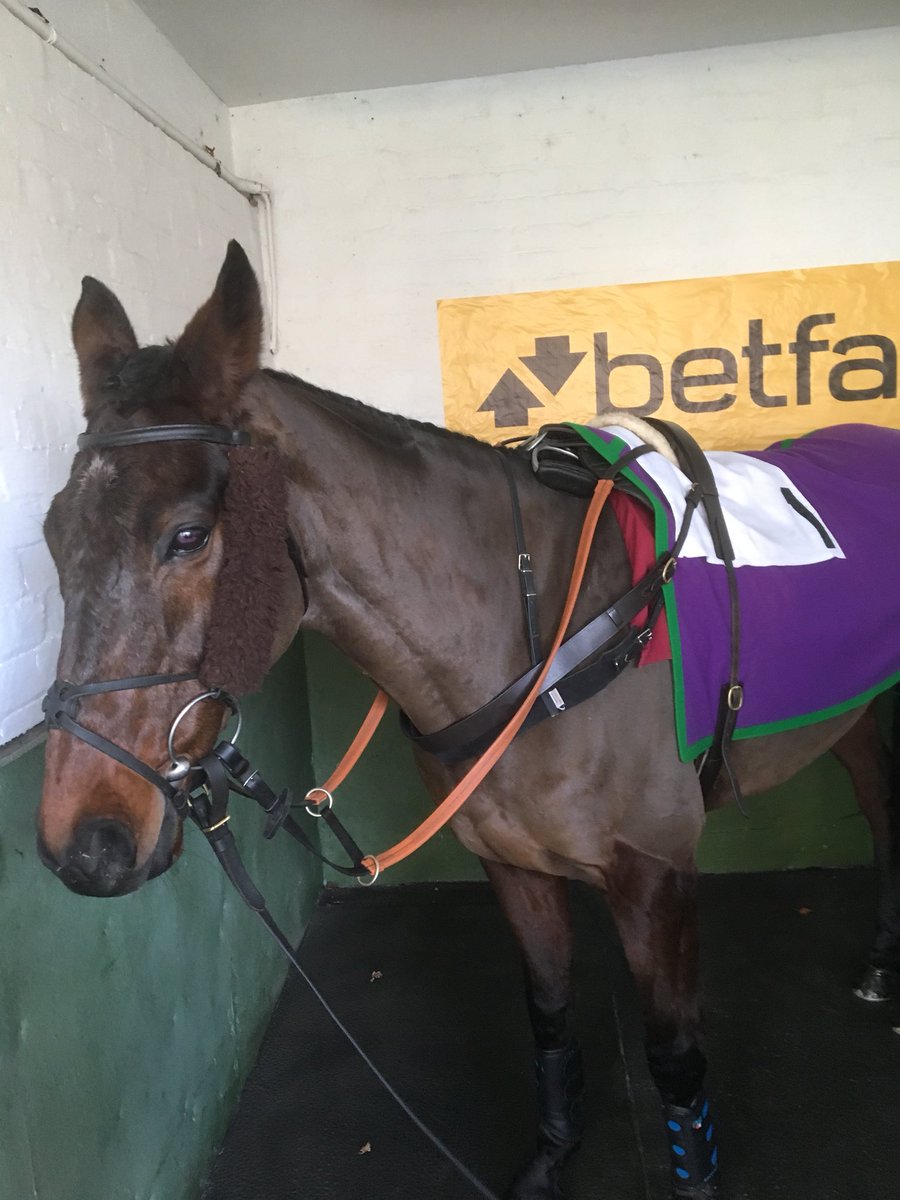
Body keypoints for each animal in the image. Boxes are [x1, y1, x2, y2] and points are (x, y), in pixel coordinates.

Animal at [37, 241, 900, 1200]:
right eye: (52, 533)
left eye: (187, 536)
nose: (85, 843)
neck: (542, 637)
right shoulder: (512, 866)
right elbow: (550, 1018)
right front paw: (552, 1155)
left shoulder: (658, 876)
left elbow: (675, 1060)